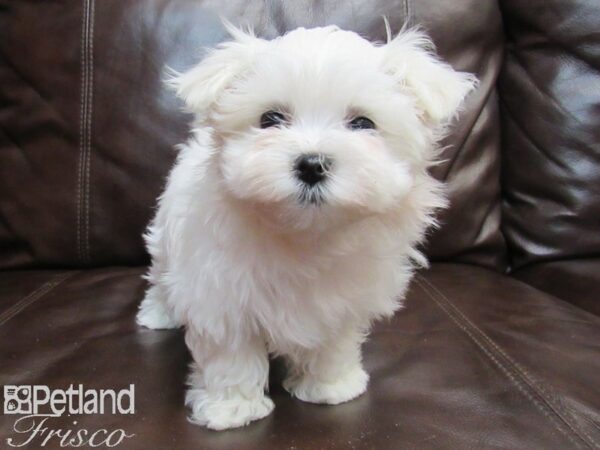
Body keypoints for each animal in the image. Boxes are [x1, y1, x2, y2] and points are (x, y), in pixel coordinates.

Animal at [138, 23, 476, 428]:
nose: (312, 164)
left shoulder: (342, 299)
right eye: (270, 119)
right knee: (160, 277)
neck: (306, 234)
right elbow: (231, 353)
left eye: (363, 123)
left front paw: (331, 385)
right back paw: (157, 314)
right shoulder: (221, 292)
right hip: (165, 241)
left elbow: (334, 342)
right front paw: (232, 407)